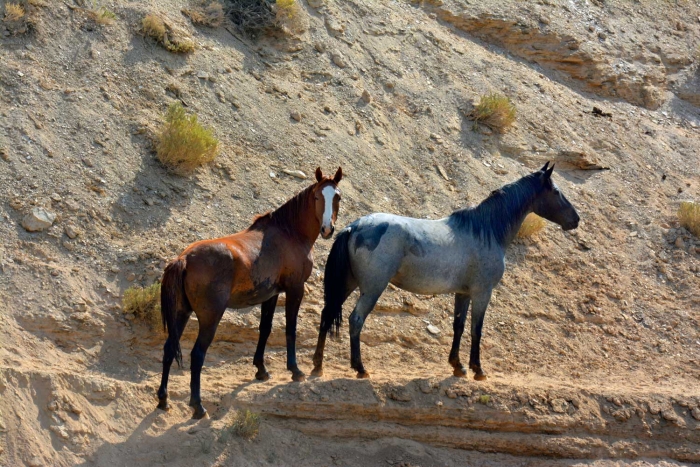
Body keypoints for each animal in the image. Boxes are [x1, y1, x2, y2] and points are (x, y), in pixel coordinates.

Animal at [159, 168, 344, 420]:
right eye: (317, 197)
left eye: (337, 197)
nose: (327, 229)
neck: (289, 233)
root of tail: (184, 258)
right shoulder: (295, 289)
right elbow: (291, 329)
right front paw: (295, 370)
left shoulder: (271, 295)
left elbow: (265, 329)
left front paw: (261, 369)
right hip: (209, 318)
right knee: (197, 355)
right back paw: (198, 406)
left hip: (181, 313)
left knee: (169, 348)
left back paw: (163, 400)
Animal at [312, 164, 580, 380]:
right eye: (556, 192)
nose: (576, 219)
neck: (485, 230)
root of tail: (353, 227)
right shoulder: (482, 293)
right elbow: (476, 328)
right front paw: (477, 369)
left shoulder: (463, 293)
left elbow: (458, 326)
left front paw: (457, 366)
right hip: (372, 289)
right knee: (356, 320)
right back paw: (360, 368)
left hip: (347, 284)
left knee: (326, 315)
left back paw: (317, 366)